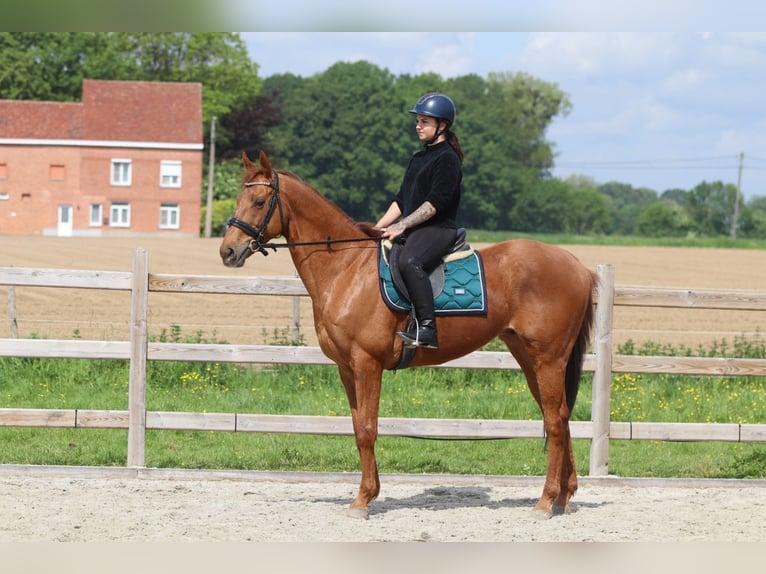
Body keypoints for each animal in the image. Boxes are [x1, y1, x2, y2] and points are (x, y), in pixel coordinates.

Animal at [220, 150, 597, 519]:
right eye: (239, 199)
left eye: (258, 201)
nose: (228, 252)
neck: (346, 268)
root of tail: (579, 267)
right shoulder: (346, 368)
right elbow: (357, 426)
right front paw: (368, 493)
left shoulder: (367, 364)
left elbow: (368, 430)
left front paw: (363, 500)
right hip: (530, 358)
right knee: (560, 416)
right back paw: (564, 497)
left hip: (548, 358)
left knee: (554, 421)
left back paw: (545, 502)